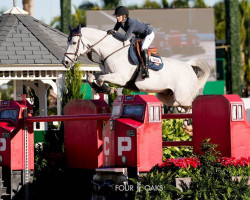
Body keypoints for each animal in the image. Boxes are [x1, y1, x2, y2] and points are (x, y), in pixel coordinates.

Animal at [62, 24, 211, 111]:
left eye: (73, 42)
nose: (65, 62)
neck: (112, 50)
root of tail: (188, 66)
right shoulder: (109, 73)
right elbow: (92, 76)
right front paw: (102, 88)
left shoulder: (120, 78)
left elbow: (101, 79)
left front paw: (108, 89)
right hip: (165, 95)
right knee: (178, 104)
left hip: (182, 96)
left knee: (190, 103)